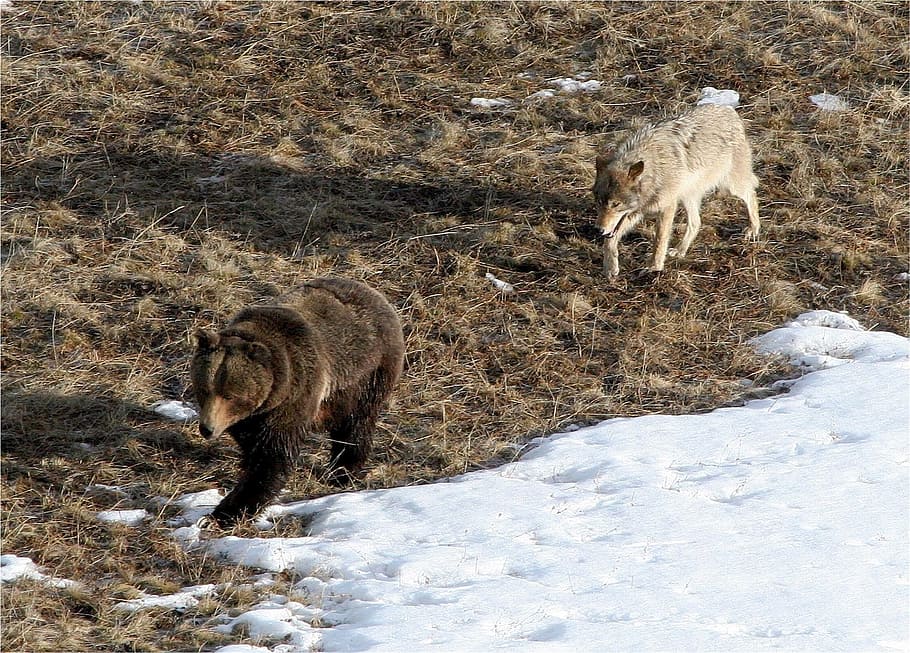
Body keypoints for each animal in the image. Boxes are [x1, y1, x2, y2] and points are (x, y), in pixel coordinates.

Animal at [190, 277, 405, 526]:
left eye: (230, 395)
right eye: (204, 389)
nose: (207, 428)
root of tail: (374, 293)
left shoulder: (296, 395)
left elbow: (272, 457)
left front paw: (226, 511)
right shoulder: (253, 417)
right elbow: (252, 445)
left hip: (367, 375)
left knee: (355, 425)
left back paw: (341, 471)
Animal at [592, 104, 760, 278]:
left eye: (616, 204)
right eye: (599, 202)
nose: (598, 229)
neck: (654, 171)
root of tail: (729, 110)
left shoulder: (667, 207)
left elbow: (659, 241)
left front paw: (654, 267)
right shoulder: (635, 212)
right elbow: (609, 240)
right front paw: (610, 267)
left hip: (731, 185)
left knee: (751, 194)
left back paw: (753, 229)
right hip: (688, 196)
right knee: (696, 222)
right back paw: (680, 251)